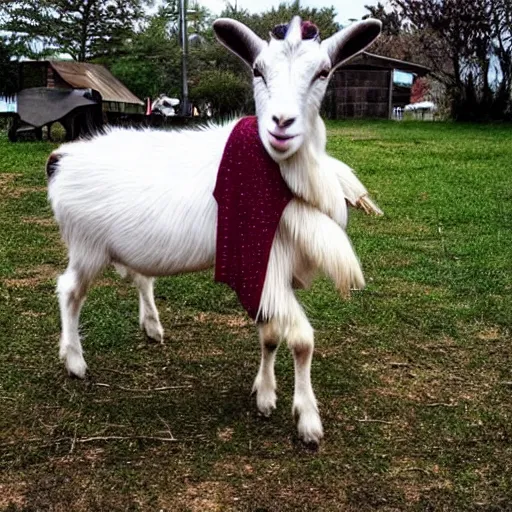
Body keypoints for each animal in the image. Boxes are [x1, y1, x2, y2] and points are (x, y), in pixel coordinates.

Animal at [48, 17, 382, 444]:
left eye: (323, 72)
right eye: (258, 70)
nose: (281, 124)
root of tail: (62, 157)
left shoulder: (269, 267)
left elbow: (269, 333)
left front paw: (265, 396)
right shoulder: (264, 263)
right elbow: (302, 340)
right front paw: (307, 420)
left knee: (140, 277)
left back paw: (152, 327)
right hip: (86, 246)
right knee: (70, 291)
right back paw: (74, 360)